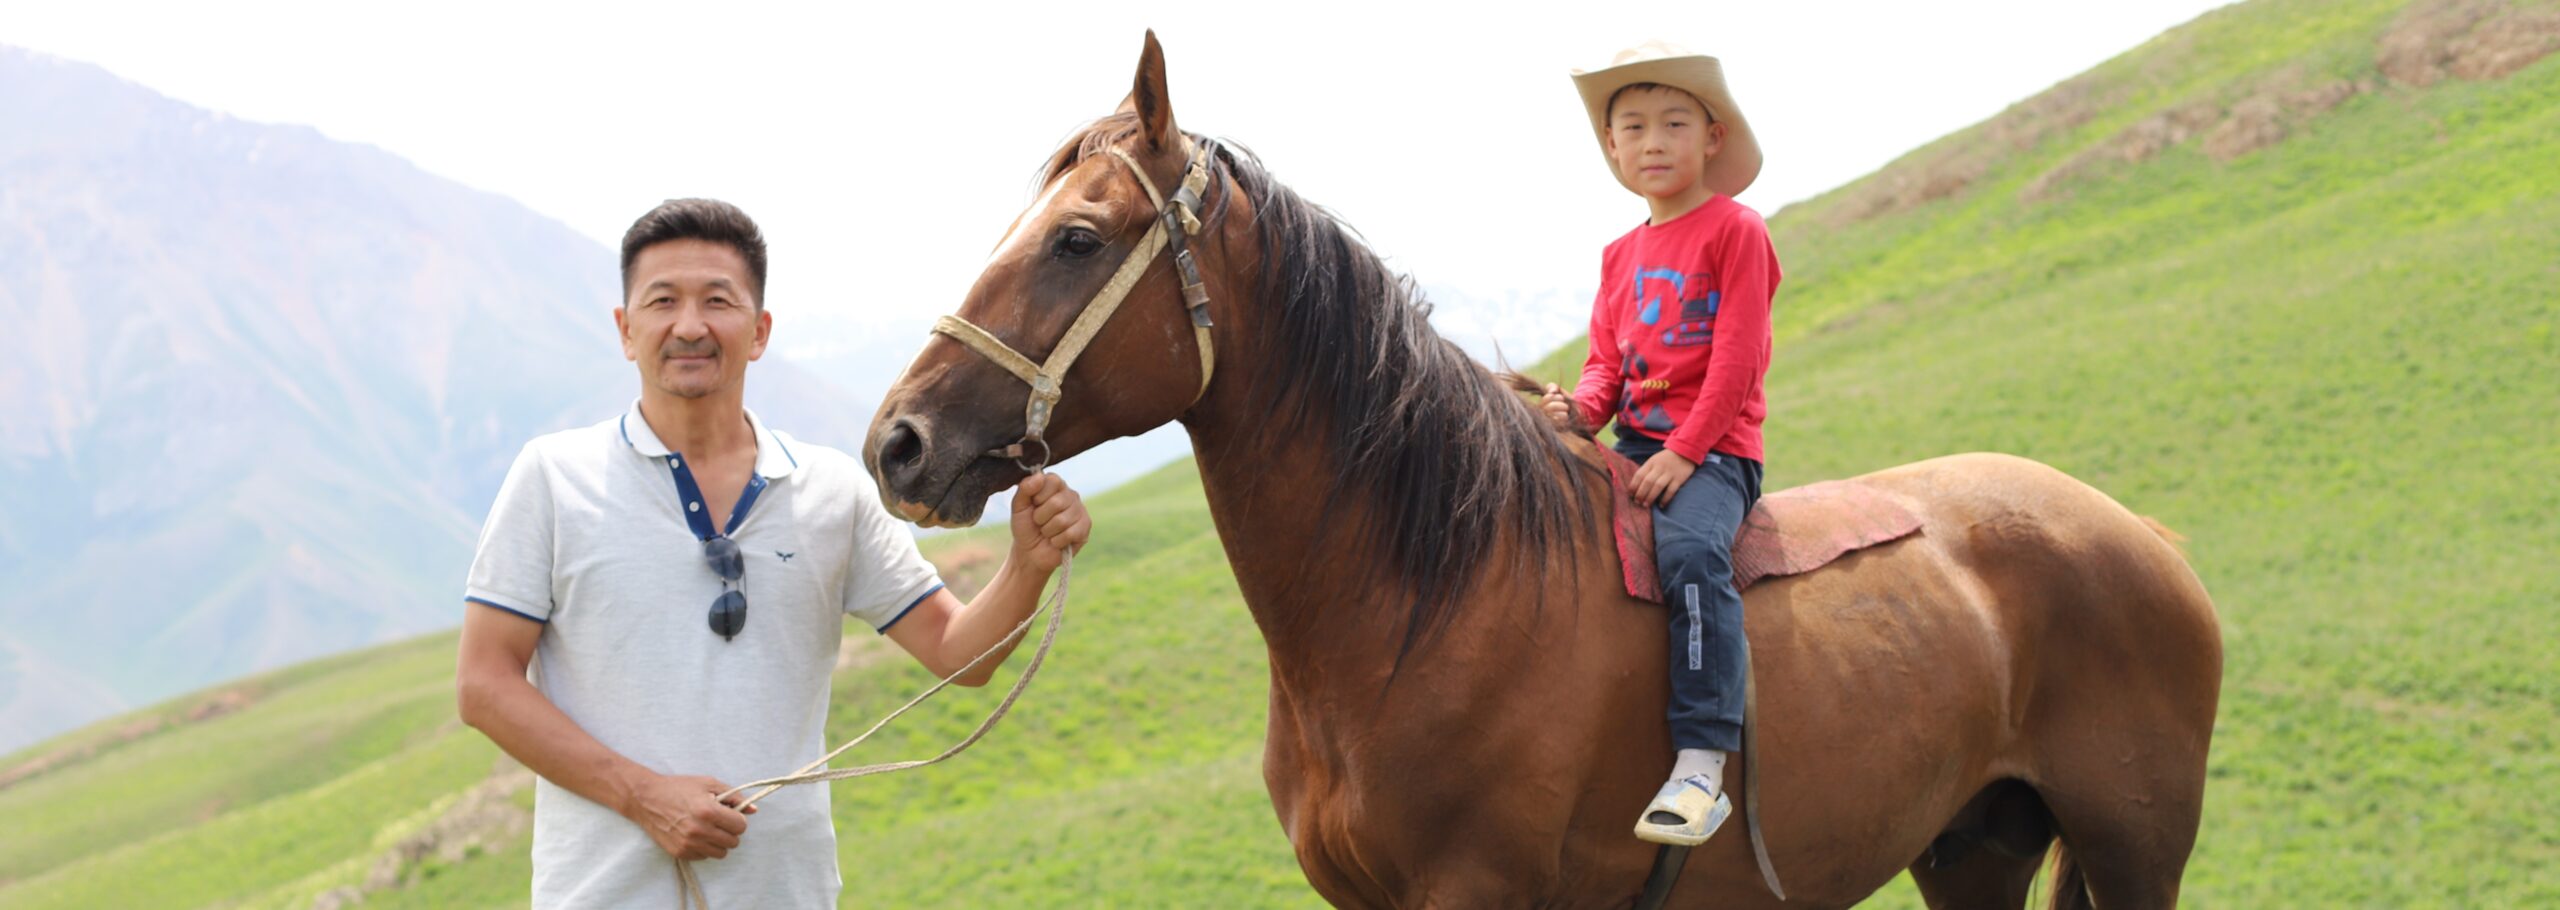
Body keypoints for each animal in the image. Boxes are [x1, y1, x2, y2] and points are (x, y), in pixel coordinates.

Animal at [863, 32, 2222, 910]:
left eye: (1076, 240)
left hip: (2136, 849)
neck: (1428, 599)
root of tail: (2142, 534)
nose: (899, 441)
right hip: (1972, 847)